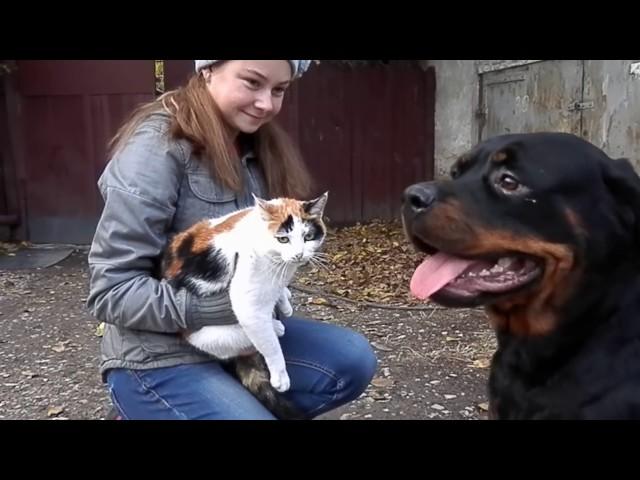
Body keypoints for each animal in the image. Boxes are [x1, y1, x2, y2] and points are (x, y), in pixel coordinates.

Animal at [160, 191, 330, 420]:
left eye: (308, 237)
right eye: (283, 239)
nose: (298, 255)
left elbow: (278, 291)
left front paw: (284, 300)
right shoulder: (247, 302)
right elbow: (270, 344)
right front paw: (280, 377)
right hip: (212, 337)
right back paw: (275, 327)